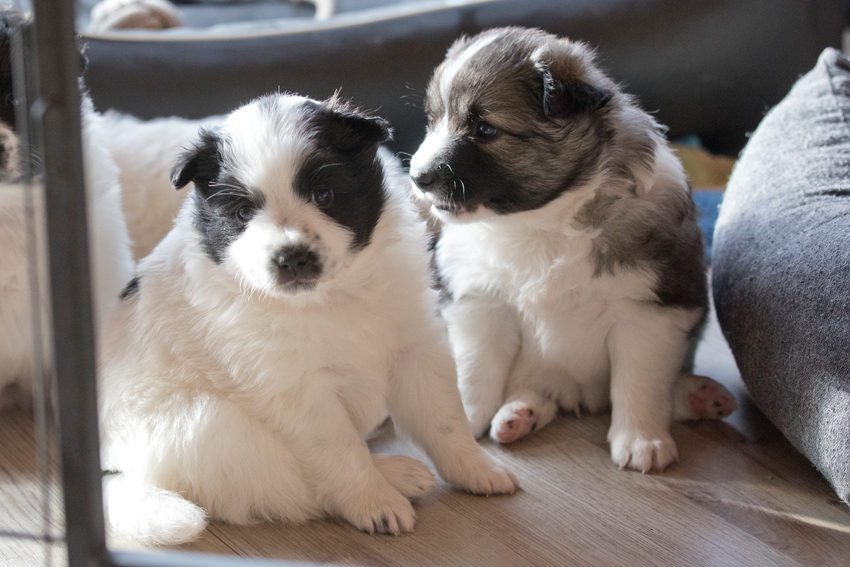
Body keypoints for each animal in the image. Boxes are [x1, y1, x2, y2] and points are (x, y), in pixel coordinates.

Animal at [99, 93, 519, 546]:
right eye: (243, 212)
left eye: (324, 194)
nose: (292, 257)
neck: (329, 299)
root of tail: (110, 469)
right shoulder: (297, 391)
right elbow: (341, 451)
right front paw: (375, 503)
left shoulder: (416, 346)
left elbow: (446, 421)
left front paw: (478, 470)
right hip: (211, 427)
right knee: (283, 485)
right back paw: (398, 476)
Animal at [409, 27, 736, 473]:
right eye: (432, 121)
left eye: (485, 129)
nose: (417, 177)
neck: (541, 223)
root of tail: (578, 394)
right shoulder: (481, 306)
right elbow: (476, 371)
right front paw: (467, 419)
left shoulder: (648, 316)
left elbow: (640, 384)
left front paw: (642, 441)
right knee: (531, 389)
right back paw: (518, 416)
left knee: (655, 390)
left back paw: (700, 396)